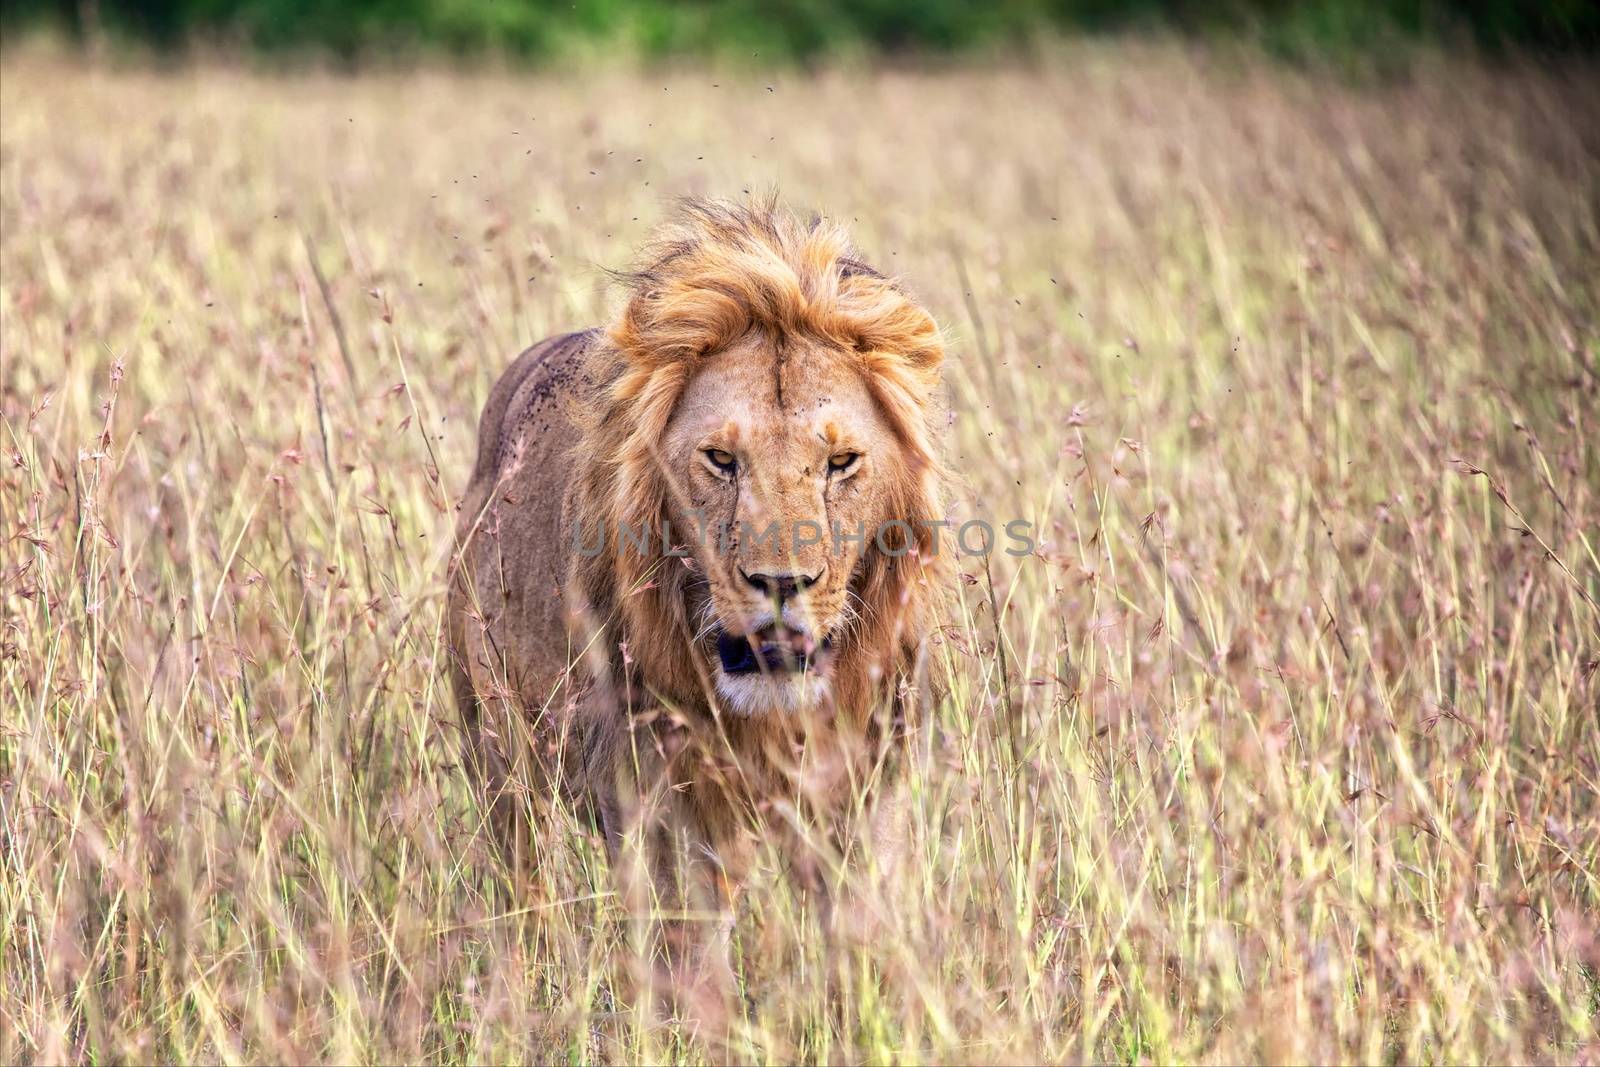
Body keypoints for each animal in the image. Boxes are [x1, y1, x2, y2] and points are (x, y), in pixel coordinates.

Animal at [444, 198, 947, 1011]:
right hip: (500, 763)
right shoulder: (658, 801)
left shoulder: (869, 787)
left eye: (841, 462)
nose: (781, 582)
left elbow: (863, 945)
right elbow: (692, 968)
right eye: (720, 459)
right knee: (521, 896)